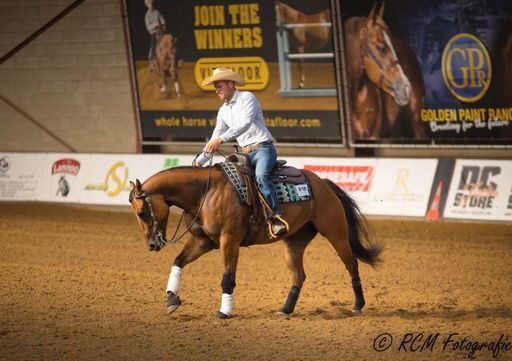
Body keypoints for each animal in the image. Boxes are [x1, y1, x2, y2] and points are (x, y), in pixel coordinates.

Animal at [130, 158, 382, 318]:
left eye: (142, 212)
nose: (151, 244)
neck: (205, 192)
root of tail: (323, 184)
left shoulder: (229, 240)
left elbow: (227, 278)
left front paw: (224, 312)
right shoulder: (204, 241)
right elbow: (178, 262)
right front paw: (172, 300)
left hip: (336, 233)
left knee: (352, 265)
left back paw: (358, 305)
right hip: (294, 242)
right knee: (299, 275)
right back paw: (285, 309)